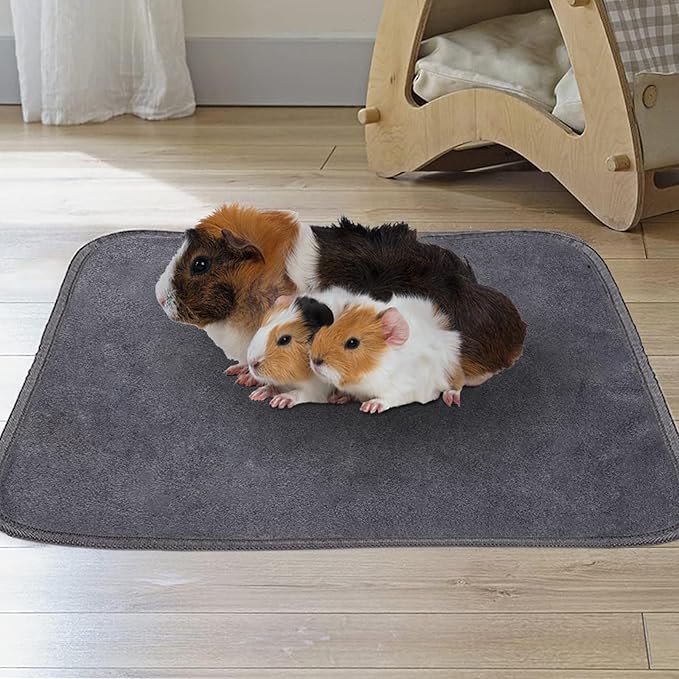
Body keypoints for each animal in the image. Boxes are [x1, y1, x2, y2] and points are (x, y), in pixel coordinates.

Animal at [309, 288, 464, 414]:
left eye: (352, 343)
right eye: (325, 329)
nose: (315, 360)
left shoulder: (404, 388)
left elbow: (390, 398)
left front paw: (370, 406)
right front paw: (337, 398)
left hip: (451, 372)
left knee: (458, 384)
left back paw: (451, 398)